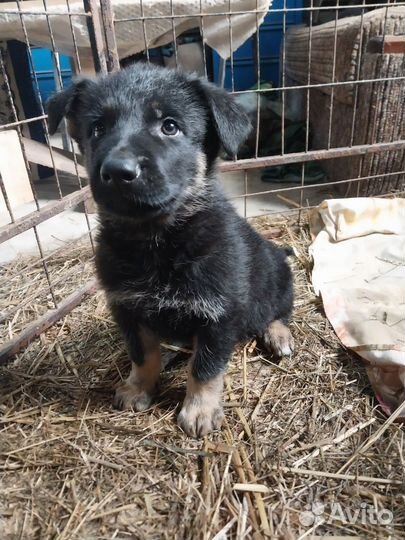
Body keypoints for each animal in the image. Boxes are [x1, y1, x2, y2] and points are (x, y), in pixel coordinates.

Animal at [48, 64, 294, 438]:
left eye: (170, 126)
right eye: (97, 129)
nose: (117, 171)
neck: (158, 243)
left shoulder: (219, 315)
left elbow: (205, 368)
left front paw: (199, 410)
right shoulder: (128, 309)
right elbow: (142, 356)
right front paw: (138, 388)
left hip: (279, 277)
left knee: (278, 311)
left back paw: (278, 334)